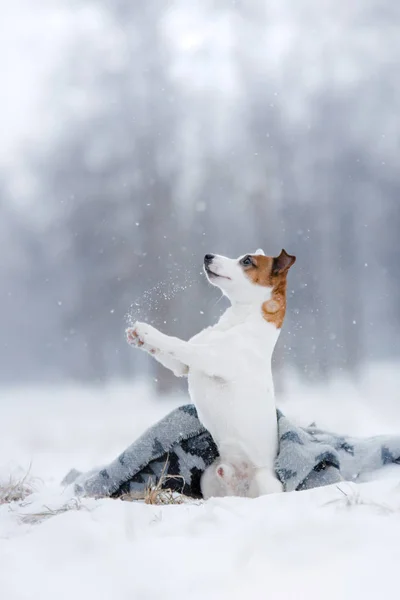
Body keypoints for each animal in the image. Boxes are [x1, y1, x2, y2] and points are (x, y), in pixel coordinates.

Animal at [126, 248, 296, 496]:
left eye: (247, 261)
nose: (208, 256)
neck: (237, 323)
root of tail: (239, 488)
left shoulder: (209, 358)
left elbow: (177, 344)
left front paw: (148, 332)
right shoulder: (182, 366)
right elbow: (168, 353)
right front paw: (138, 337)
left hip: (266, 482)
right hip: (209, 479)